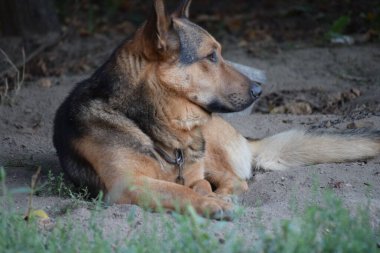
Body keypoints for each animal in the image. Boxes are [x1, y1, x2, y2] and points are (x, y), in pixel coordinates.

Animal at [53, 0, 380, 219]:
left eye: (219, 53)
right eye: (211, 56)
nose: (259, 91)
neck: (155, 125)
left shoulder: (193, 173)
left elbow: (197, 187)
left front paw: (212, 199)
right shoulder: (129, 185)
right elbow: (179, 190)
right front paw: (208, 203)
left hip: (210, 148)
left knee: (236, 181)